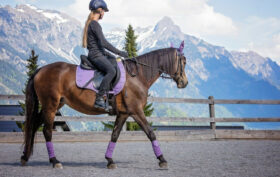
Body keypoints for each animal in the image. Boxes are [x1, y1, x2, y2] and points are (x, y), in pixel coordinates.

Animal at [20, 41, 188, 169]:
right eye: (184, 62)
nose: (184, 83)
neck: (137, 76)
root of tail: (41, 70)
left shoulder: (124, 113)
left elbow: (115, 135)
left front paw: (109, 160)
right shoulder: (136, 111)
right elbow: (150, 133)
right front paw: (162, 159)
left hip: (54, 105)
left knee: (34, 125)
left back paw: (25, 157)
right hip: (51, 105)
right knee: (47, 131)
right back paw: (55, 161)